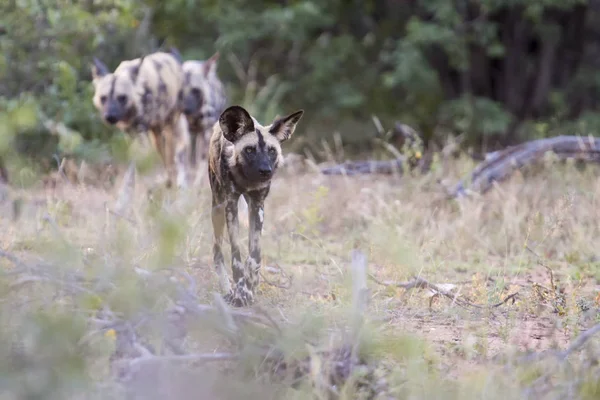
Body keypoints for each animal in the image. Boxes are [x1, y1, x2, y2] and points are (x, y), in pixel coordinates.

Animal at [89, 51, 190, 188]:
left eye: (122, 97)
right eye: (103, 98)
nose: (110, 116)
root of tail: (171, 56)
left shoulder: (141, 133)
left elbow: (141, 161)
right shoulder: (130, 133)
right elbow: (136, 161)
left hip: (171, 125)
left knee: (176, 152)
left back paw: (179, 181)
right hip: (156, 134)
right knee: (164, 154)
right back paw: (169, 180)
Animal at [211, 104, 304, 304]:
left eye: (272, 151)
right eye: (250, 150)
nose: (265, 171)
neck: (247, 179)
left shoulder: (257, 205)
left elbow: (254, 256)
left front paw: (250, 286)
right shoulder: (230, 205)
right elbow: (237, 257)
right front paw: (240, 292)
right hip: (217, 208)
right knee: (217, 250)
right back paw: (227, 290)